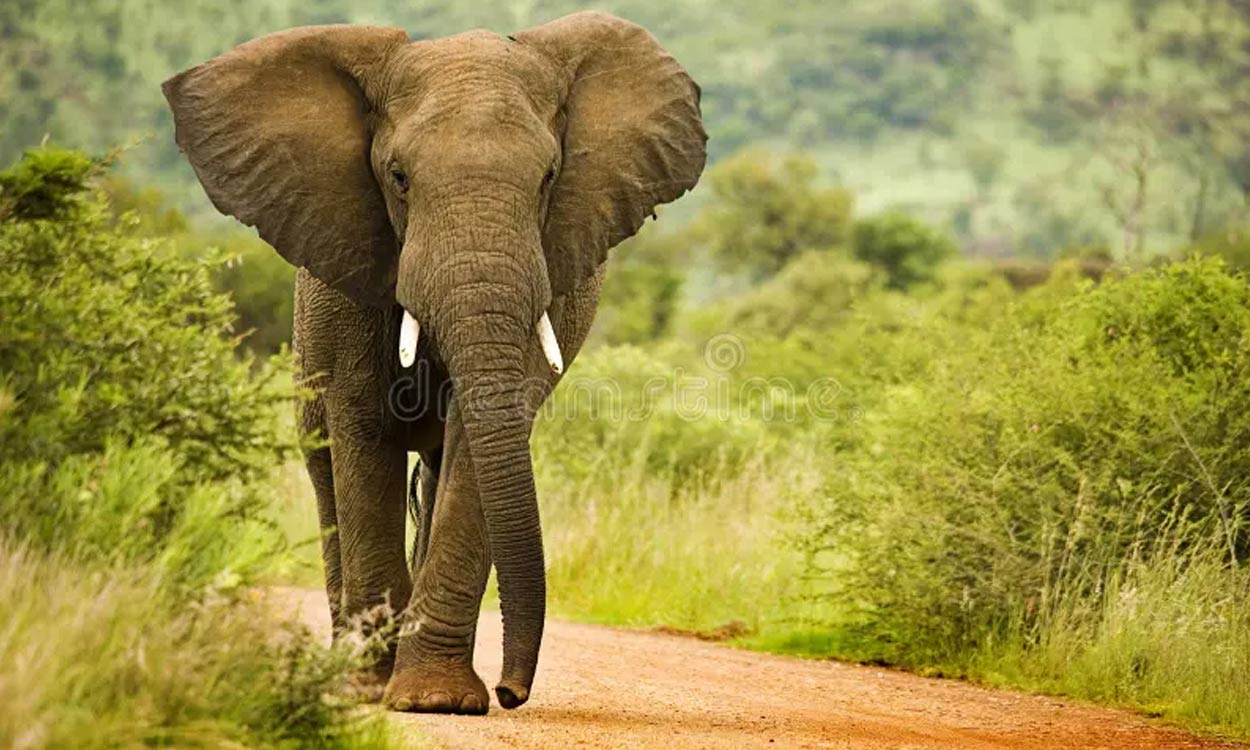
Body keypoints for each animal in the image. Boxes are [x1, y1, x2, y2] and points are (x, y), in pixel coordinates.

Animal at [162, 12, 706, 715]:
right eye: (398, 177)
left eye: (549, 178)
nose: (512, 691)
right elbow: (362, 435)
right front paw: (374, 688)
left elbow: (477, 448)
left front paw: (433, 700)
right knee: (326, 477)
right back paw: (346, 667)